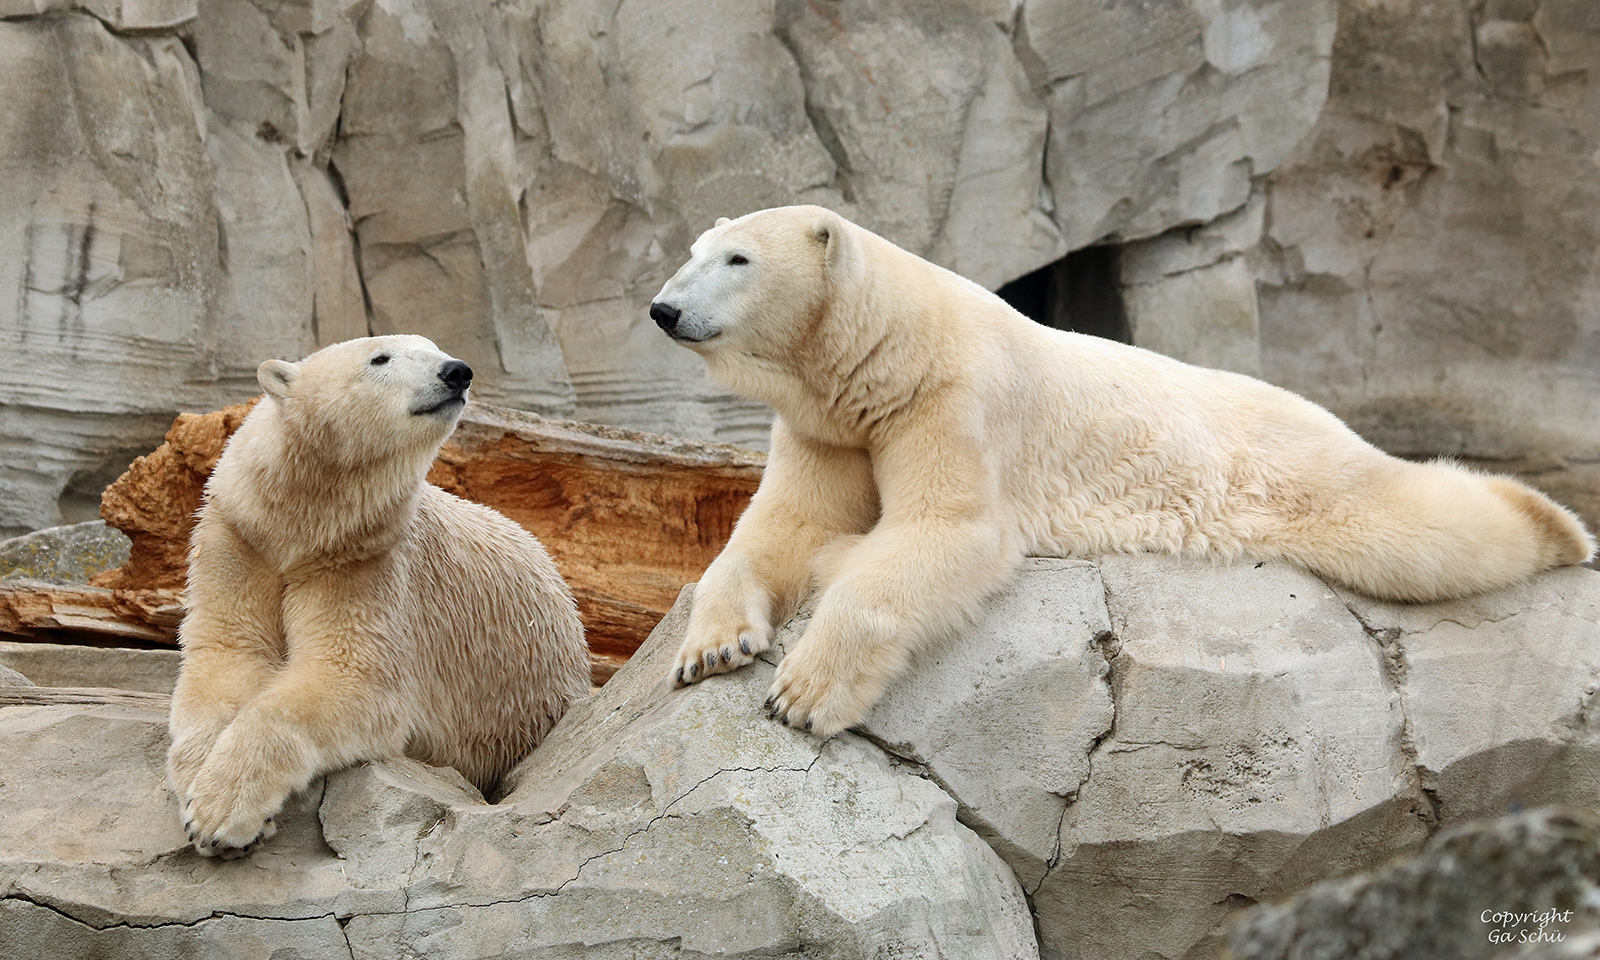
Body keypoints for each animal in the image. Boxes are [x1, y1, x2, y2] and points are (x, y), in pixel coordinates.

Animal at [167, 336, 588, 857]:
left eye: (434, 347)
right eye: (380, 358)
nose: (457, 371)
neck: (302, 525)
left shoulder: (367, 562)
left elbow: (350, 676)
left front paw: (223, 813)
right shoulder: (240, 538)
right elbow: (227, 653)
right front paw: (198, 792)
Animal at [652, 206, 1600, 739]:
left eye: (737, 259)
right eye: (693, 249)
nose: (662, 307)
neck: (885, 349)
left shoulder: (951, 398)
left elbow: (945, 531)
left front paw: (802, 694)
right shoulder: (830, 423)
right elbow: (787, 525)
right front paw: (712, 645)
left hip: (1282, 473)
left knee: (1409, 529)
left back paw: (1558, 523)